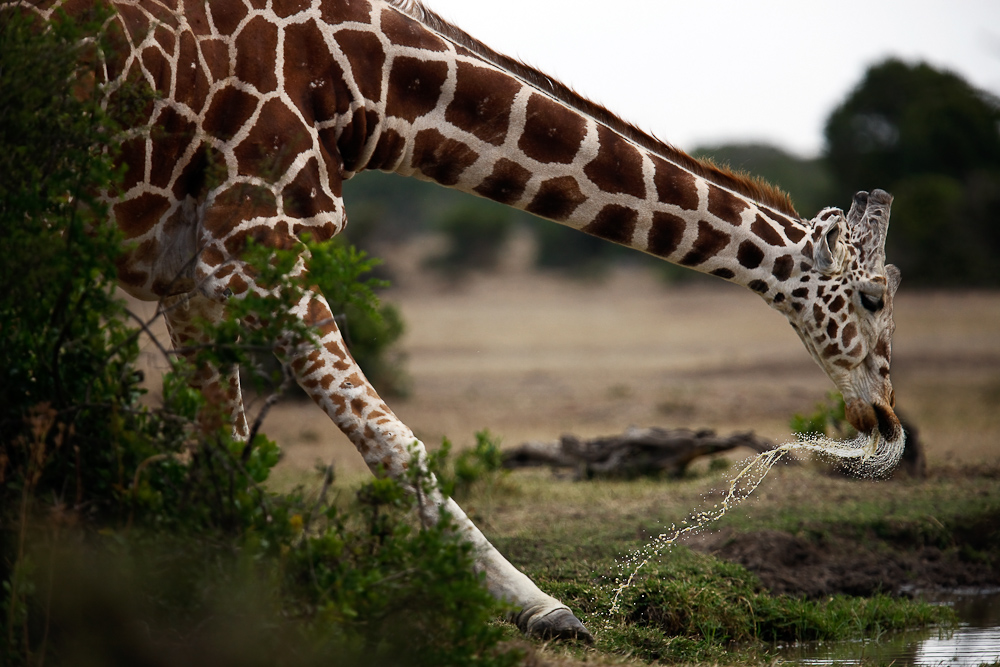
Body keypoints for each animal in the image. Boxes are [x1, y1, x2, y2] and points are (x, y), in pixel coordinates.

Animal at [11, 0, 908, 640]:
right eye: (874, 297)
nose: (891, 428)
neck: (366, 86)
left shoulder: (188, 274)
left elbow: (225, 451)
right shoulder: (253, 244)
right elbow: (398, 443)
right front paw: (544, 608)